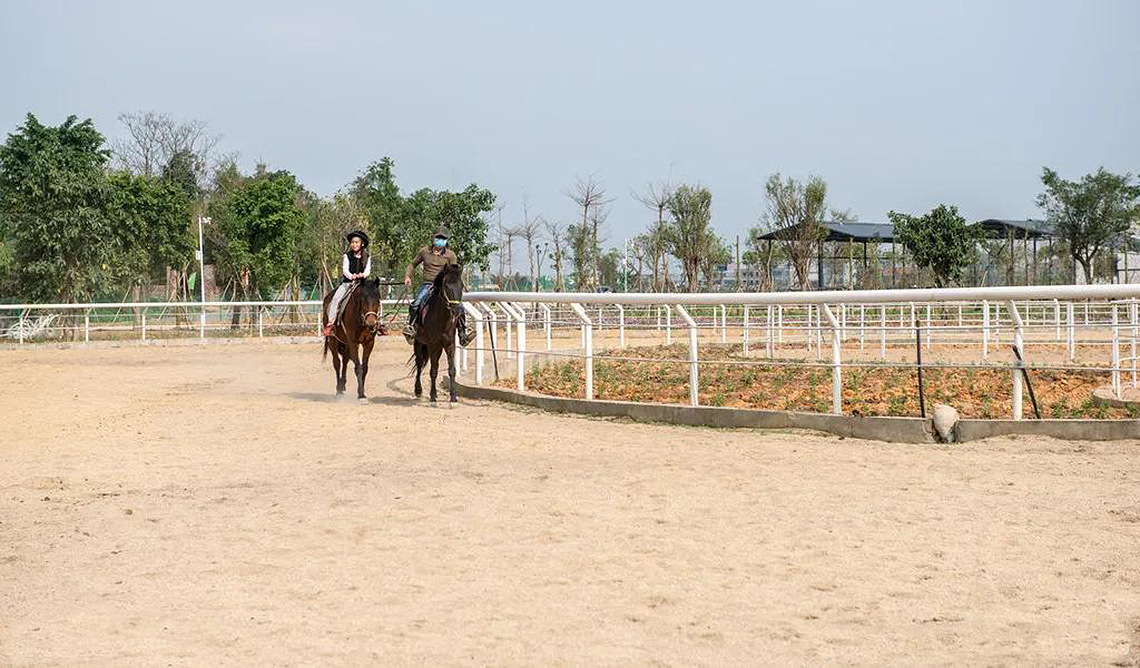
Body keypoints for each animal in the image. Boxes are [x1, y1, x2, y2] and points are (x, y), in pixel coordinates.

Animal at [414, 262, 462, 403]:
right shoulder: (432, 346)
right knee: (419, 364)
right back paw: (418, 390)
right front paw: (433, 396)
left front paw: (453, 396)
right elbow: (433, 370)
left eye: (461, 286)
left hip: (439, 348)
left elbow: (452, 370)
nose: (457, 311)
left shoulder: (450, 345)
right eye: (446, 286)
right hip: (419, 343)